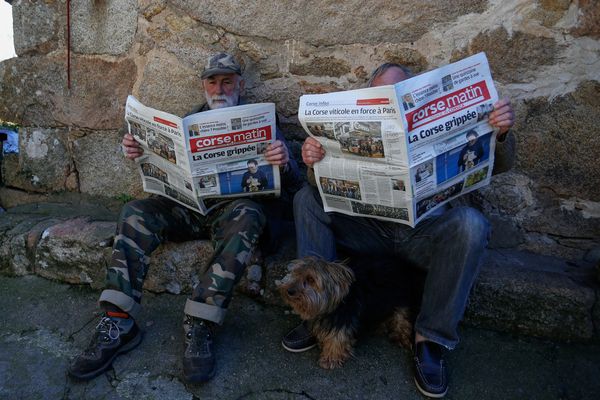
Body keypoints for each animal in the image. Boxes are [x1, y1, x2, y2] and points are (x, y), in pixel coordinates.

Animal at [278, 256, 424, 368]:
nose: (289, 291)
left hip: (399, 296)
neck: (334, 305)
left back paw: (401, 335)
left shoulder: (343, 321)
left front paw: (330, 358)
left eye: (311, 279)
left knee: (401, 316)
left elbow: (337, 339)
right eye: (295, 274)